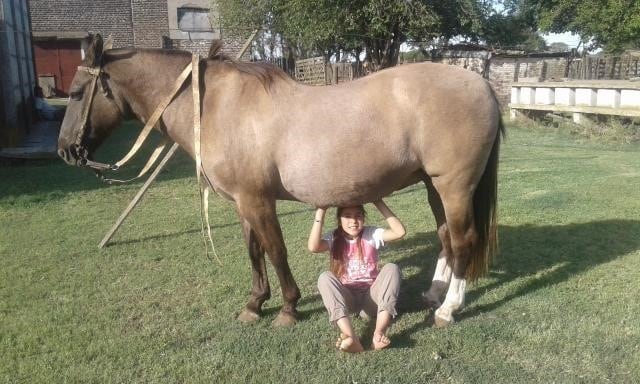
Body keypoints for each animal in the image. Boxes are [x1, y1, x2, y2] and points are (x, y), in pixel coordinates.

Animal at [57, 35, 502, 328]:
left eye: (77, 92)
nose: (64, 151)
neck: (217, 106)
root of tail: (481, 84)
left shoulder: (258, 201)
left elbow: (275, 251)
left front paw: (288, 308)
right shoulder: (243, 203)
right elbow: (254, 252)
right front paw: (255, 304)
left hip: (454, 186)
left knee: (464, 240)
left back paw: (448, 308)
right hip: (433, 186)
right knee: (446, 238)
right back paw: (434, 293)